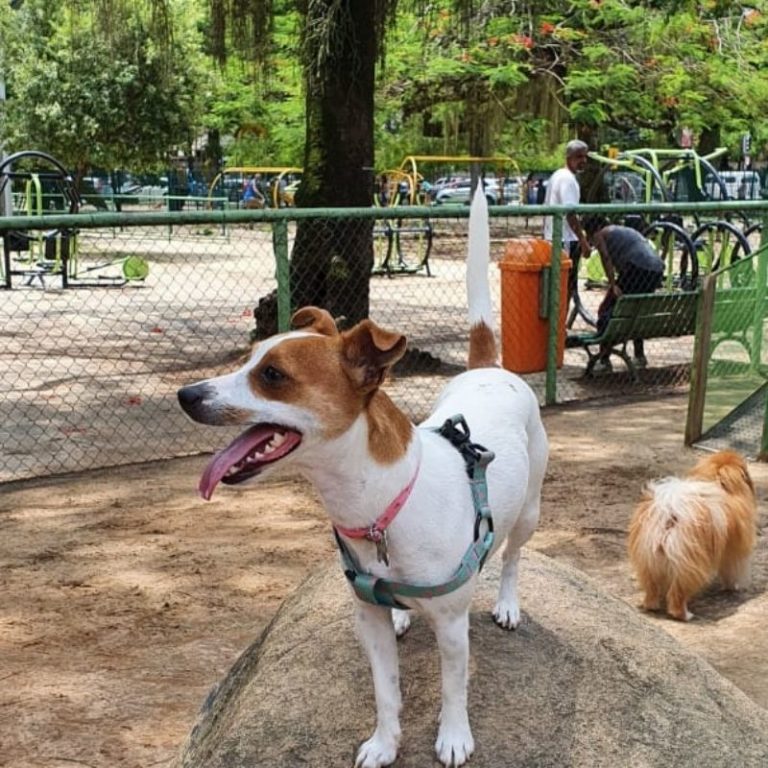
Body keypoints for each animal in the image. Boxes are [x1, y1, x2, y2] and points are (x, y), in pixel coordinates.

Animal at [177, 189, 548, 764]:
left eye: (272, 375)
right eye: (247, 360)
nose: (186, 395)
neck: (383, 505)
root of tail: (489, 369)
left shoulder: (452, 625)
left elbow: (453, 689)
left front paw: (454, 736)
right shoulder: (366, 620)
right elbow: (385, 690)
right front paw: (384, 742)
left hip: (529, 509)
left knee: (511, 557)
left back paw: (507, 602)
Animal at [632, 450, 756, 624]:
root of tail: (670, 514)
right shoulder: (734, 553)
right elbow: (731, 573)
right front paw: (733, 587)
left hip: (649, 561)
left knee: (652, 589)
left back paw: (652, 606)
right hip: (691, 566)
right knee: (677, 596)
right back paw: (685, 615)